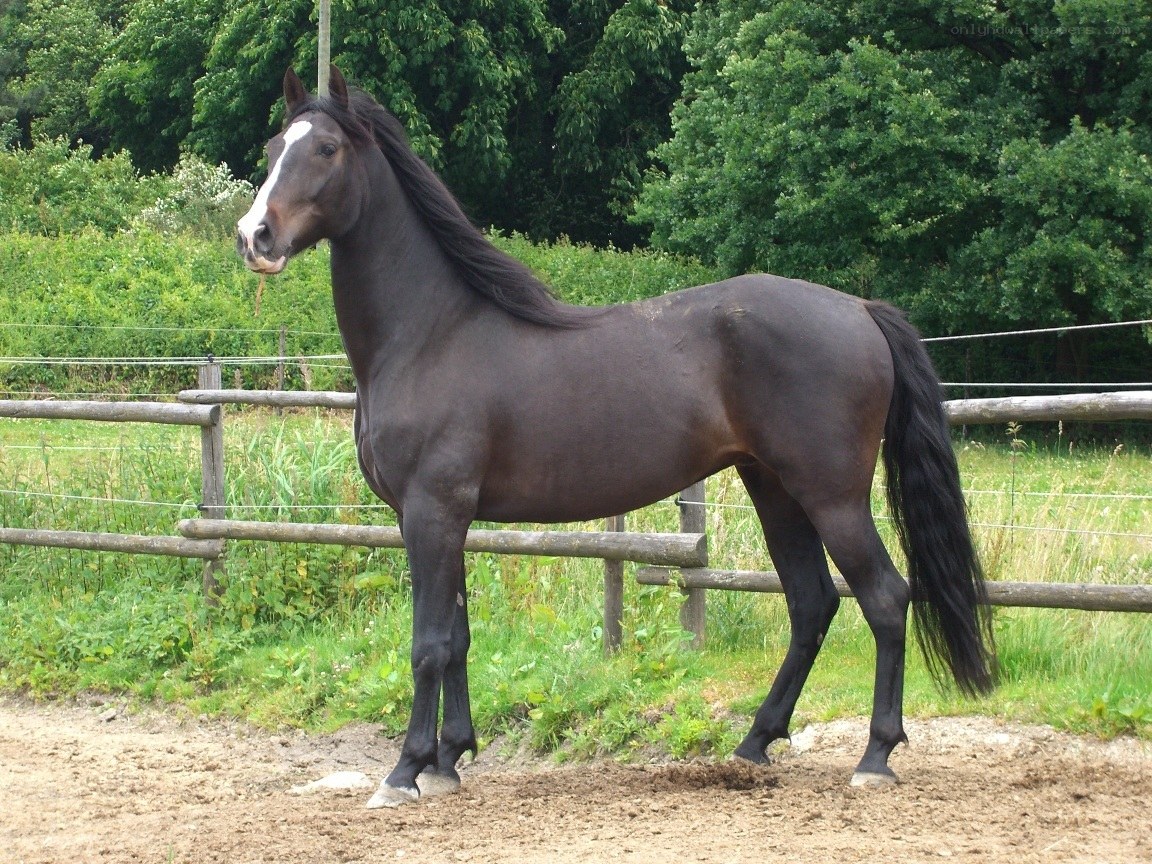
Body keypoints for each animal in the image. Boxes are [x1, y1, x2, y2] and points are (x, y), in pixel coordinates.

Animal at [236, 66, 995, 808]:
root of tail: (860, 309)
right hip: (775, 489)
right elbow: (457, 635)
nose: (254, 237)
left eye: (326, 150)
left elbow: (427, 643)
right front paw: (450, 758)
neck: (432, 334)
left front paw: (405, 770)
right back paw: (754, 744)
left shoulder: (431, 511)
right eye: (273, 150)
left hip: (831, 495)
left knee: (885, 599)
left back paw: (874, 757)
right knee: (812, 604)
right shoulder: (440, 520)